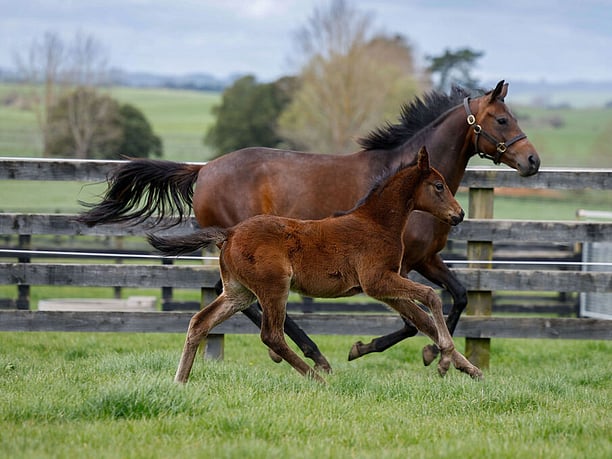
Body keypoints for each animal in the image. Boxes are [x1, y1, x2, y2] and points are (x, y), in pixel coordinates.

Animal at [148, 147, 482, 383]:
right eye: (438, 186)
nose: (459, 214)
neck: (377, 223)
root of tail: (229, 233)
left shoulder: (386, 288)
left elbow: (422, 321)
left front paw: (469, 369)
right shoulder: (378, 280)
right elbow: (431, 297)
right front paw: (444, 358)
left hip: (238, 292)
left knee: (200, 322)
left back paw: (180, 380)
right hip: (274, 287)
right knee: (271, 335)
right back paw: (317, 376)